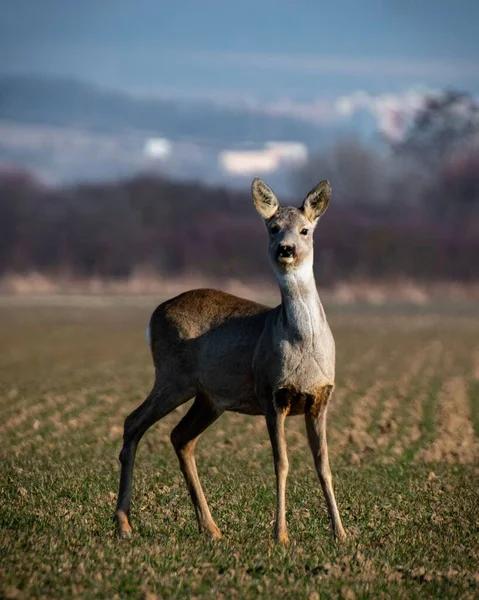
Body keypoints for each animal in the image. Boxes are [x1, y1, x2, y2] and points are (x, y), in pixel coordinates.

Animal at [114, 178, 346, 544]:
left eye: (305, 230)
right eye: (273, 228)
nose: (286, 249)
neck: (304, 348)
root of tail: (153, 315)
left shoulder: (321, 398)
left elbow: (324, 465)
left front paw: (341, 533)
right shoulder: (270, 393)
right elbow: (281, 463)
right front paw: (281, 535)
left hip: (209, 397)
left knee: (180, 437)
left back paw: (210, 528)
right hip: (172, 376)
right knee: (134, 421)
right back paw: (123, 524)